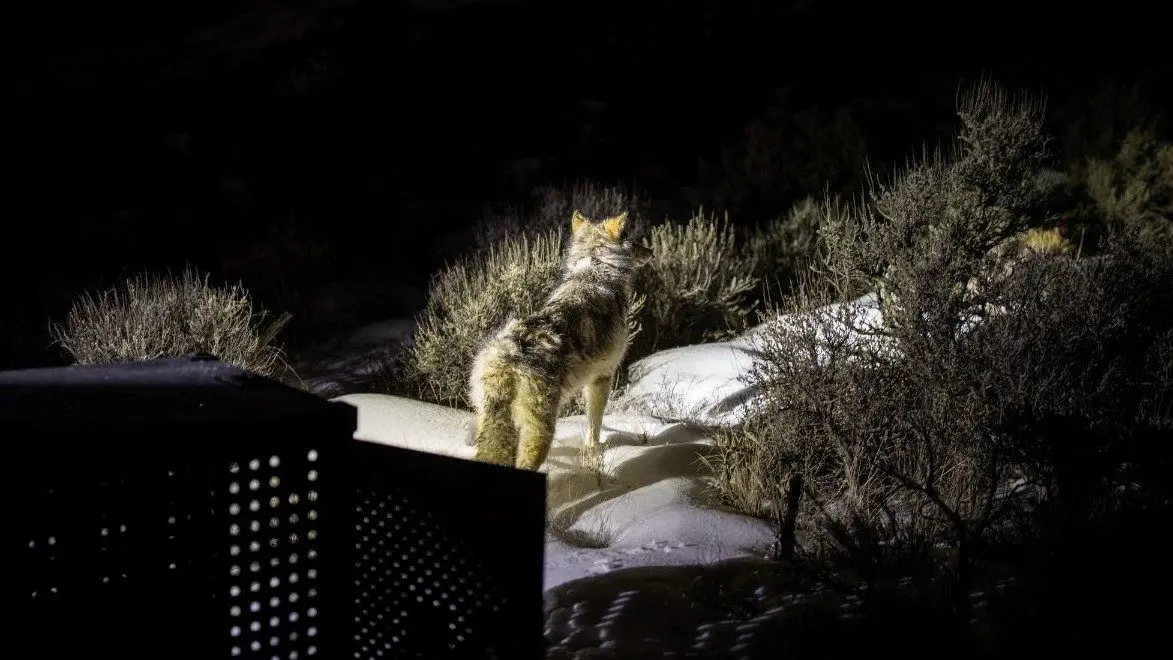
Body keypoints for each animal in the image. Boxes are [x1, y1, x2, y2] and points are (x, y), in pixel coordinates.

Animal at [467, 209, 653, 470]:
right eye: (633, 240)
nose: (651, 251)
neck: (595, 270)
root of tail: (506, 356)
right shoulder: (603, 377)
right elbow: (594, 426)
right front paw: (594, 454)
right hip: (540, 434)